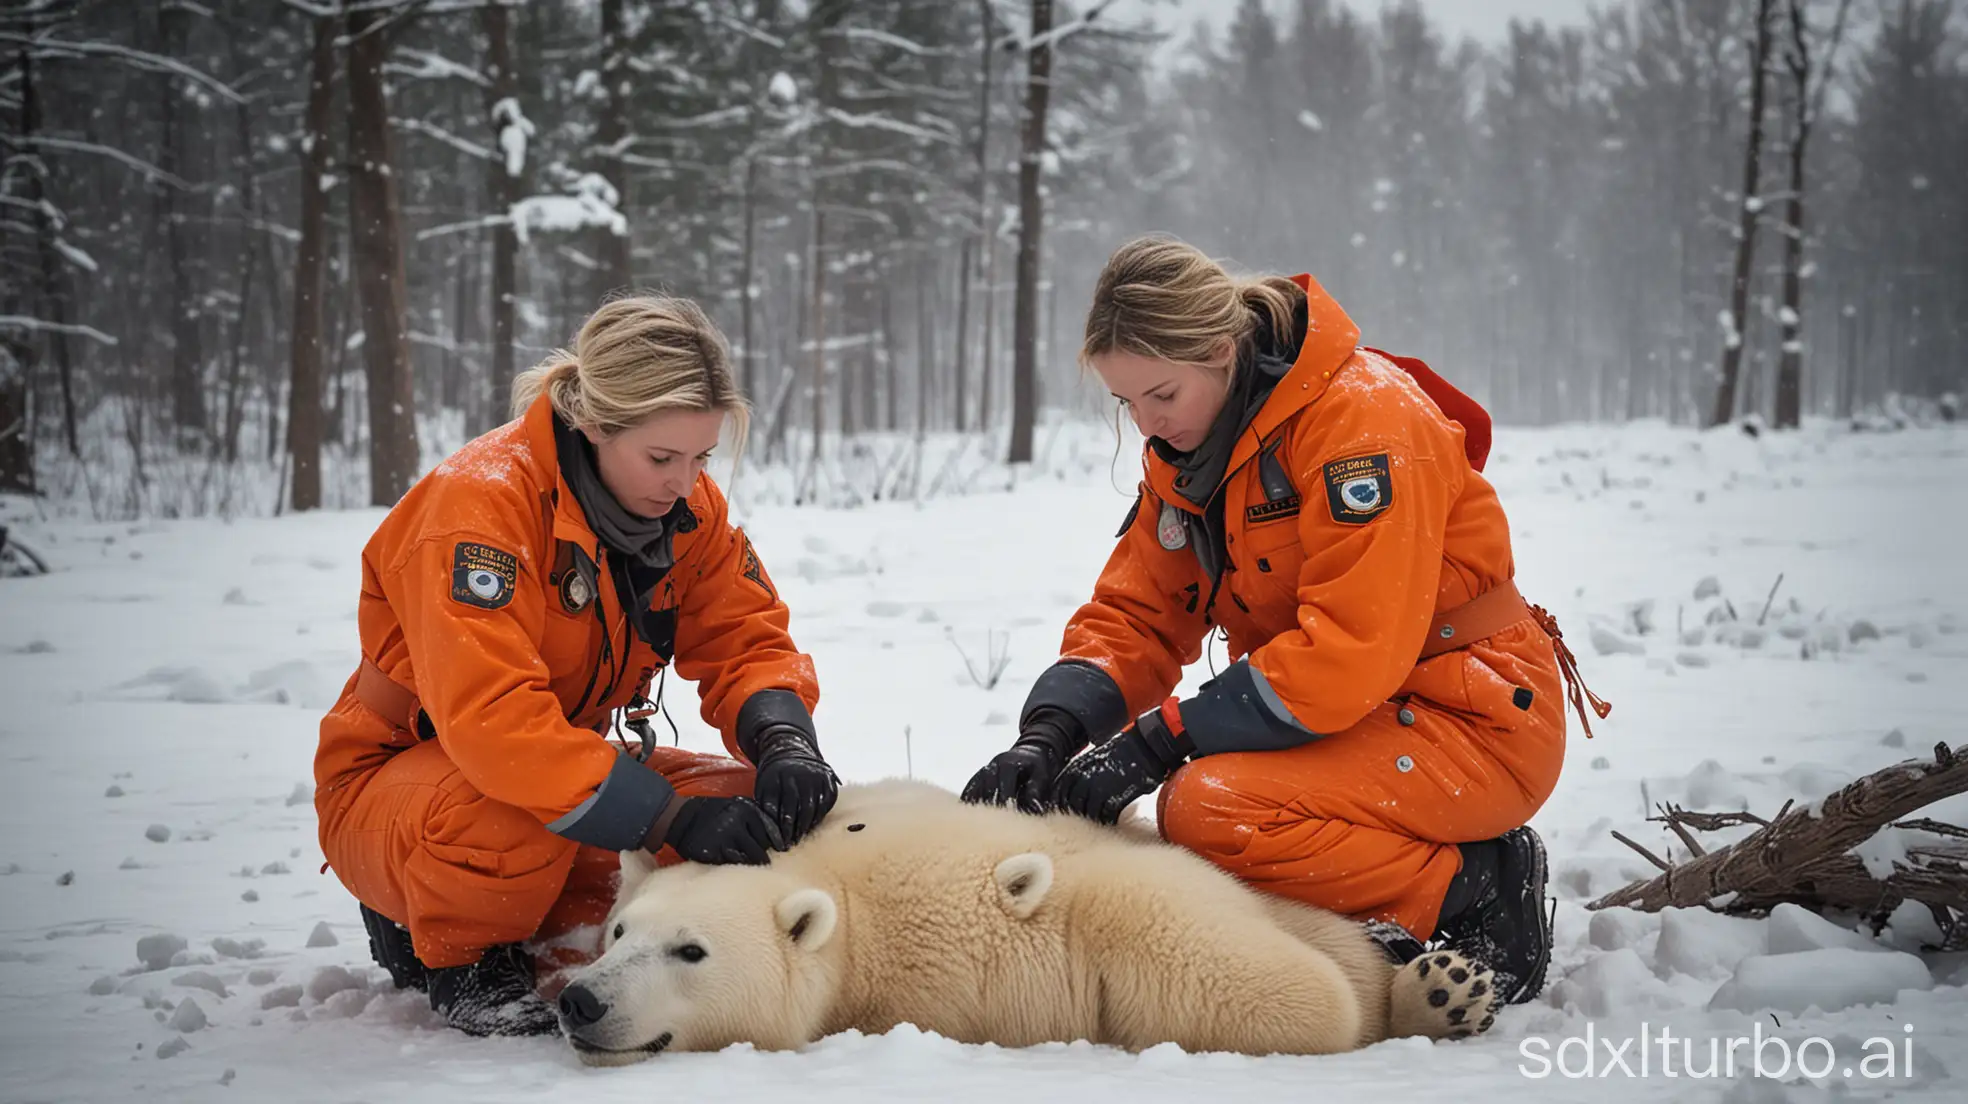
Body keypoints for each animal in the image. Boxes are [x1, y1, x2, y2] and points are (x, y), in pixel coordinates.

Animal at [554, 779, 1487, 1062]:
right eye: (620, 933)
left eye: (691, 950)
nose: (581, 1000)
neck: (836, 885)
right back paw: (1441, 991)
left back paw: (1439, 985)